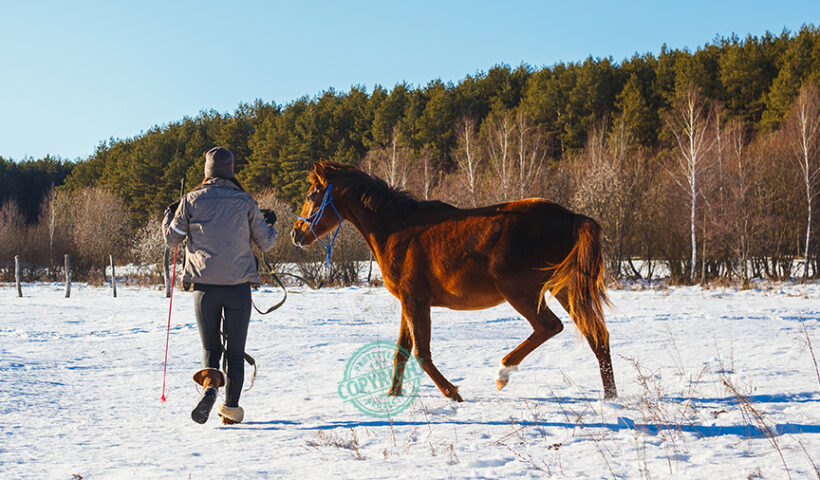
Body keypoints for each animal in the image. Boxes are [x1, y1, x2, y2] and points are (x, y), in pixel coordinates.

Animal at [292, 161, 620, 402]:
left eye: (311, 195)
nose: (296, 233)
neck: (397, 229)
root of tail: (572, 216)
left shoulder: (416, 301)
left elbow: (421, 353)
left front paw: (452, 393)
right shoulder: (408, 303)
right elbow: (402, 351)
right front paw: (393, 395)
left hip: (521, 292)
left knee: (549, 327)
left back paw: (502, 373)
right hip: (563, 289)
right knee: (597, 336)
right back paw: (610, 397)